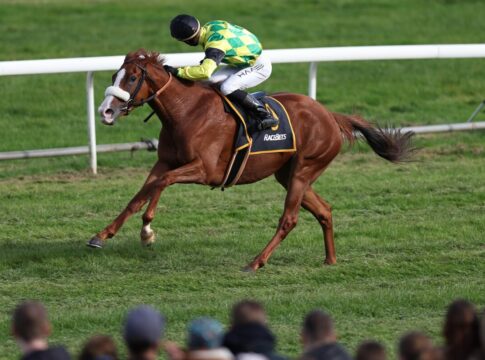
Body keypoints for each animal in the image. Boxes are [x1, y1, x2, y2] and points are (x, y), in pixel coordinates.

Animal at [90, 49, 412, 272]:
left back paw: (256, 262)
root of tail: (331, 115)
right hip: (288, 174)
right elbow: (144, 191)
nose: (106, 111)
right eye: (113, 77)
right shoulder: (166, 162)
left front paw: (145, 231)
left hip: (304, 169)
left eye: (132, 78)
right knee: (324, 210)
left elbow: (160, 183)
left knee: (289, 219)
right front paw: (107, 234)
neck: (186, 111)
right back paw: (330, 259)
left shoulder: (205, 170)